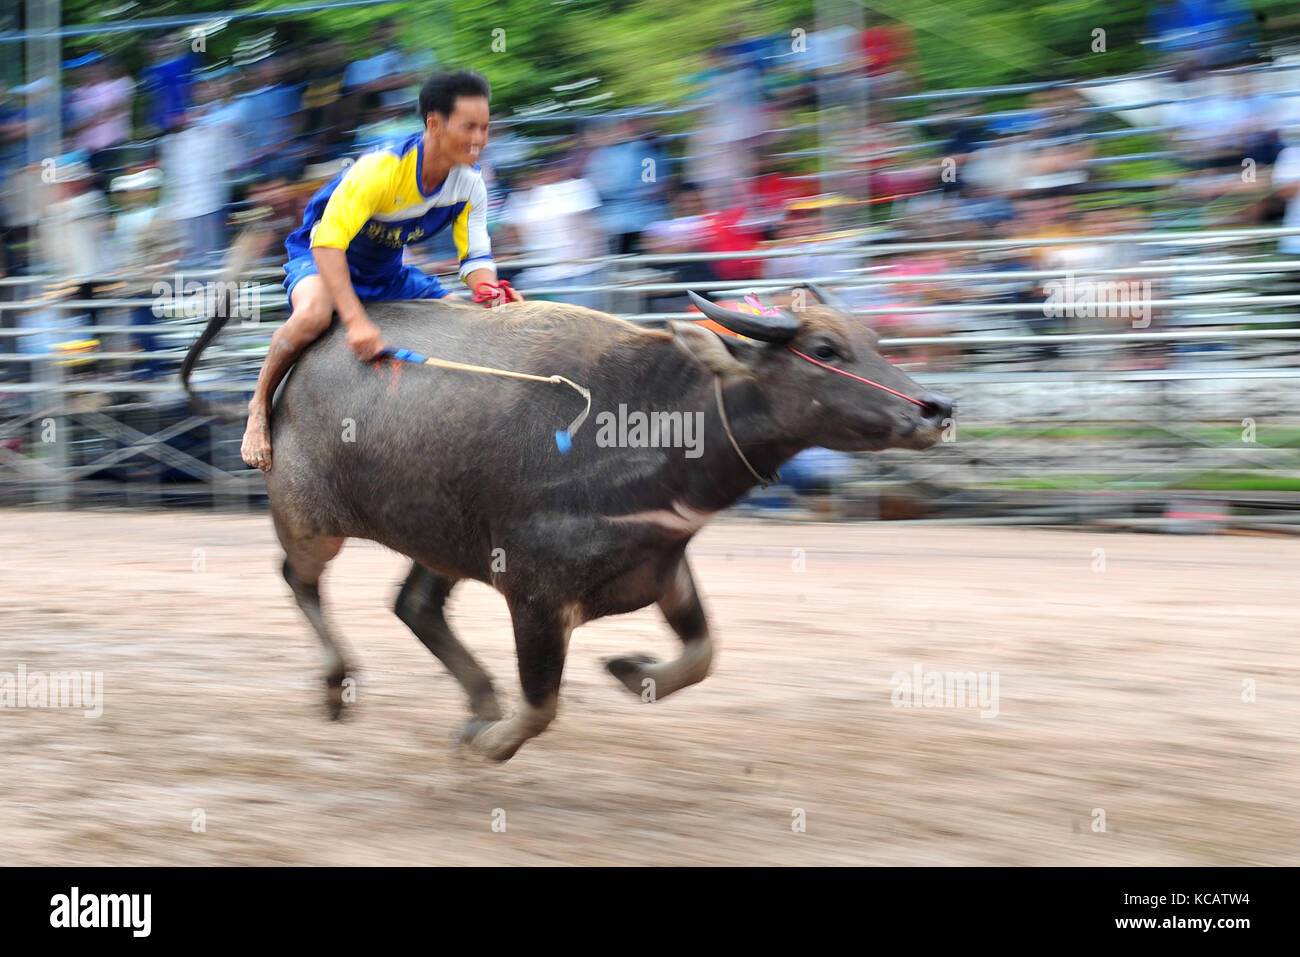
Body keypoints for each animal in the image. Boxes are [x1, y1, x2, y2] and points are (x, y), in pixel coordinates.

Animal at [183, 283, 951, 764]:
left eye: (872, 339)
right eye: (824, 350)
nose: (935, 409)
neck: (646, 418)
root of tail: (288, 375)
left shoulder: (662, 567)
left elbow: (703, 653)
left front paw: (629, 669)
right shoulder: (536, 592)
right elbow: (542, 704)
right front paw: (491, 745)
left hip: (444, 537)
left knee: (413, 603)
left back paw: (476, 701)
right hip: (310, 519)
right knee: (300, 578)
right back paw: (340, 682)